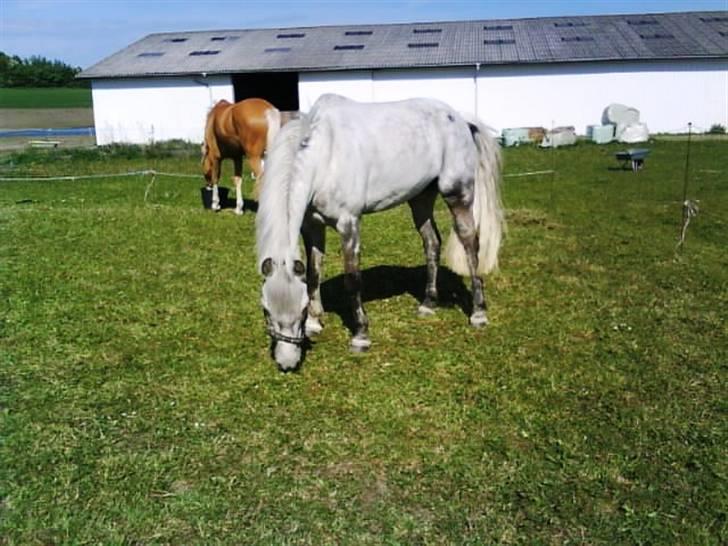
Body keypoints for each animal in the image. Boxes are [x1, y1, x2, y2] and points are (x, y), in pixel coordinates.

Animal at [255, 94, 505, 371]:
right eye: (266, 310)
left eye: (299, 310)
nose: (287, 363)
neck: (326, 157)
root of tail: (461, 120)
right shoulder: (312, 226)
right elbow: (313, 274)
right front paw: (314, 323)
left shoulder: (349, 224)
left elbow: (352, 280)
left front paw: (360, 336)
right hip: (421, 199)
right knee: (432, 243)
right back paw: (428, 305)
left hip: (458, 194)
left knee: (470, 244)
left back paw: (478, 313)